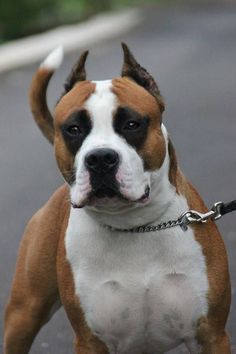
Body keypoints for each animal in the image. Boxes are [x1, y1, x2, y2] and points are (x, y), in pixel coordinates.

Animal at [3, 44, 231, 354]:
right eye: (73, 129)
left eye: (132, 124)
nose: (100, 158)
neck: (135, 226)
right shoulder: (90, 341)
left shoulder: (211, 334)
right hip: (24, 312)